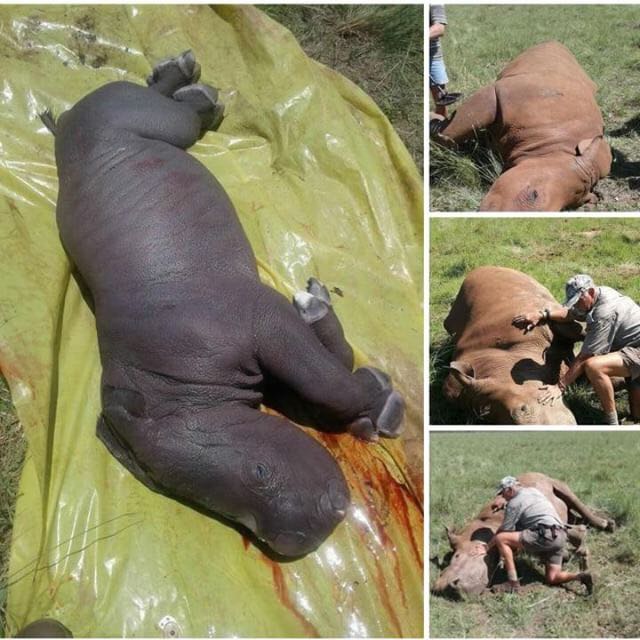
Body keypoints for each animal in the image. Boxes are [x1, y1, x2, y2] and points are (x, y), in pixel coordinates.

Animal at [432, 472, 615, 597]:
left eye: (458, 557)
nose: (441, 588)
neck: (485, 524)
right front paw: (566, 554)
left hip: (552, 481)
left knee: (570, 497)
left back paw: (607, 525)